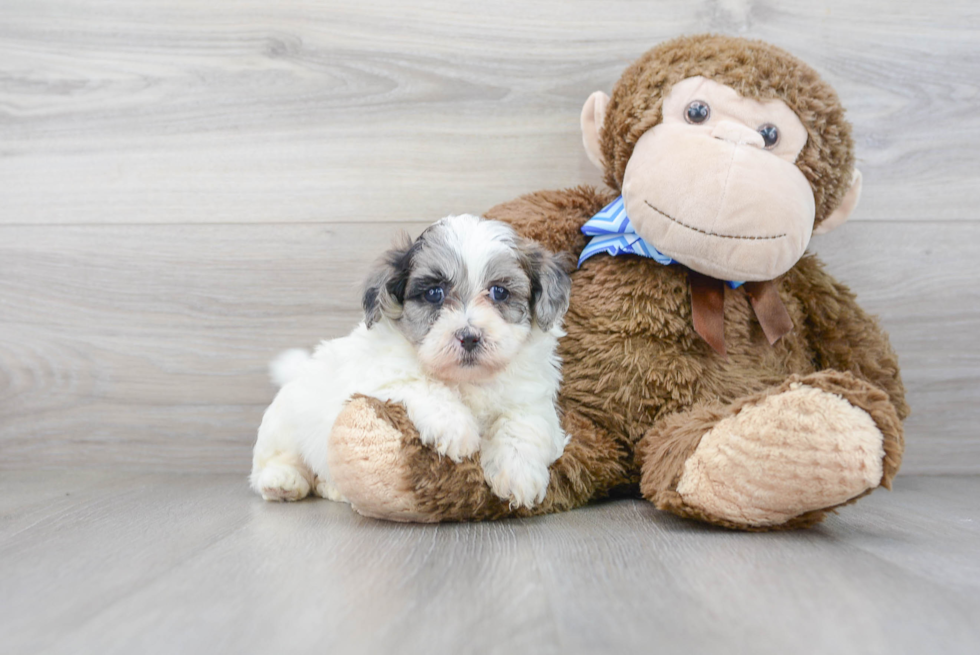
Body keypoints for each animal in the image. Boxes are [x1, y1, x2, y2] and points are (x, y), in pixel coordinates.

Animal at [251, 213, 576, 510]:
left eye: (500, 292)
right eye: (434, 293)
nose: (469, 337)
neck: (466, 380)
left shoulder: (531, 397)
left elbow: (523, 424)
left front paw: (519, 474)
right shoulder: (381, 372)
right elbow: (422, 381)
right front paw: (457, 428)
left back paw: (334, 489)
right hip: (283, 425)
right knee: (277, 460)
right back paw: (282, 481)